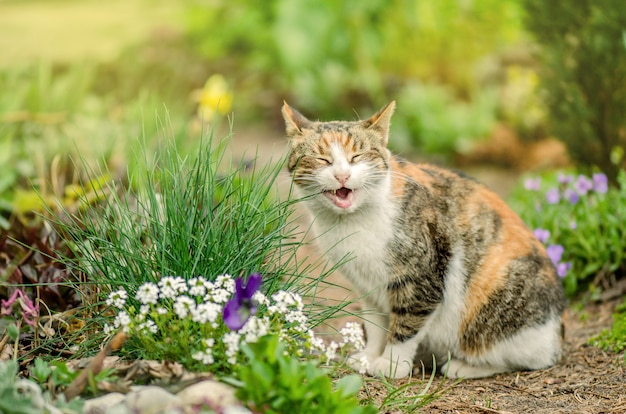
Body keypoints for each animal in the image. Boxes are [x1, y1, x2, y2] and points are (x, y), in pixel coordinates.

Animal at [280, 102, 564, 380]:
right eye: (322, 158)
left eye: (357, 156)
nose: (342, 175)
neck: (350, 223)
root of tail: (557, 333)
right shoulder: (367, 287)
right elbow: (375, 325)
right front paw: (368, 357)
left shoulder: (420, 280)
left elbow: (406, 326)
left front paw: (391, 365)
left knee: (523, 359)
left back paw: (462, 367)